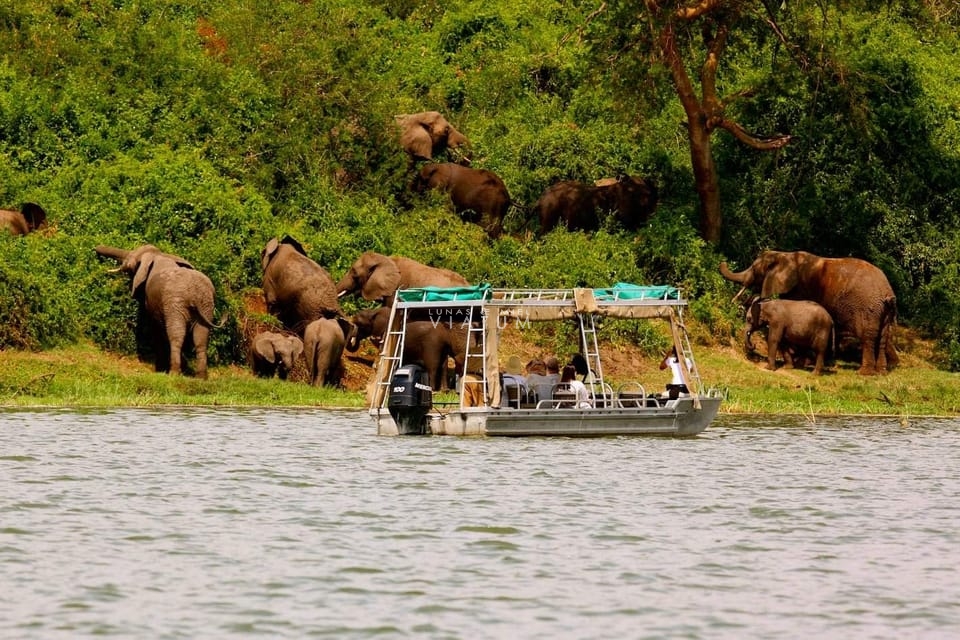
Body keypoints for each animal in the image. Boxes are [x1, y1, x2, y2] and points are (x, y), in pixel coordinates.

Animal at [96, 242, 223, 378]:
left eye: (130, 264)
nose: (96, 248)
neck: (159, 255)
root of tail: (195, 293)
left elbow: (155, 328)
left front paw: (160, 370)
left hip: (176, 304)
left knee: (176, 335)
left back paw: (173, 374)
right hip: (206, 305)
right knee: (201, 338)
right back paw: (201, 377)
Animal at [720, 250, 900, 376]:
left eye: (755, 269)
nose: (723, 261)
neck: (785, 255)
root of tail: (887, 292)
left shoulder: (798, 289)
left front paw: (801, 362)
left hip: (869, 308)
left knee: (868, 337)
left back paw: (864, 373)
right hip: (882, 310)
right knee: (883, 336)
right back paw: (882, 371)